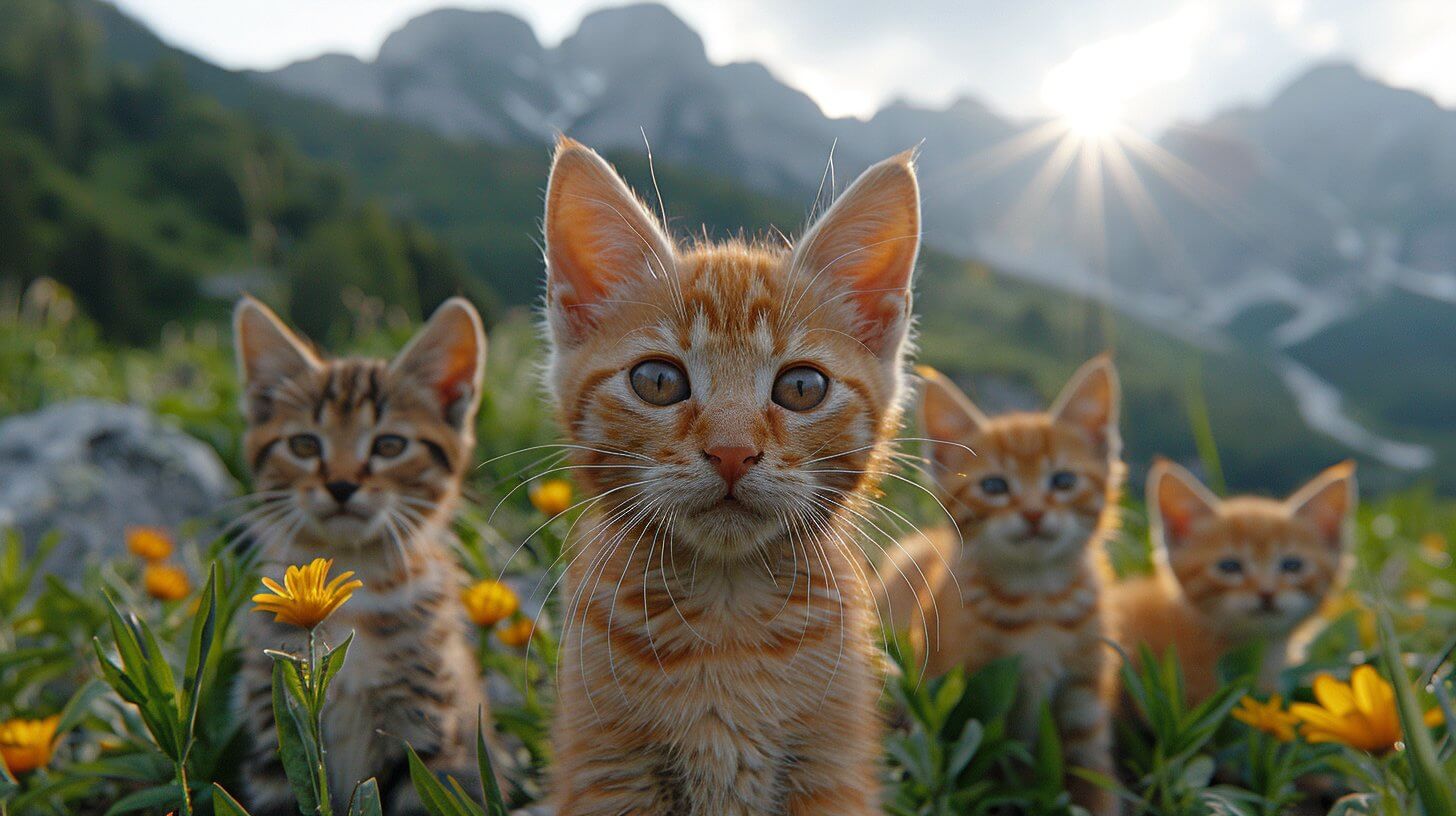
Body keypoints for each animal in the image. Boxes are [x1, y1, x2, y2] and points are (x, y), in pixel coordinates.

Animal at [541, 139, 914, 816]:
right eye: (658, 381)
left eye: (802, 387)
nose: (733, 451)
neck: (725, 620)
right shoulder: (605, 768)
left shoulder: (833, 771)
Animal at [873, 358, 1124, 816]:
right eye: (994, 487)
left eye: (1063, 481)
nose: (1034, 513)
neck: (1038, 600)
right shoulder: (959, 700)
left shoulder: (1084, 707)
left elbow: (1097, 786)